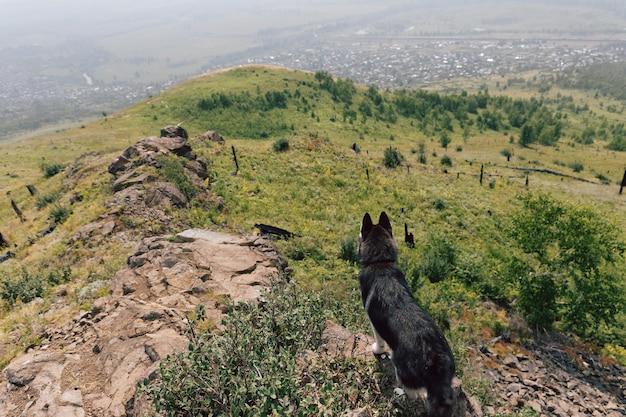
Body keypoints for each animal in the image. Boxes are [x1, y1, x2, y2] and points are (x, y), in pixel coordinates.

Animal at [356, 213, 454, 414]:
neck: (381, 262)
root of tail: (434, 361)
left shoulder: (374, 323)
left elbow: (379, 341)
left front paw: (377, 350)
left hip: (400, 367)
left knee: (413, 393)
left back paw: (400, 393)